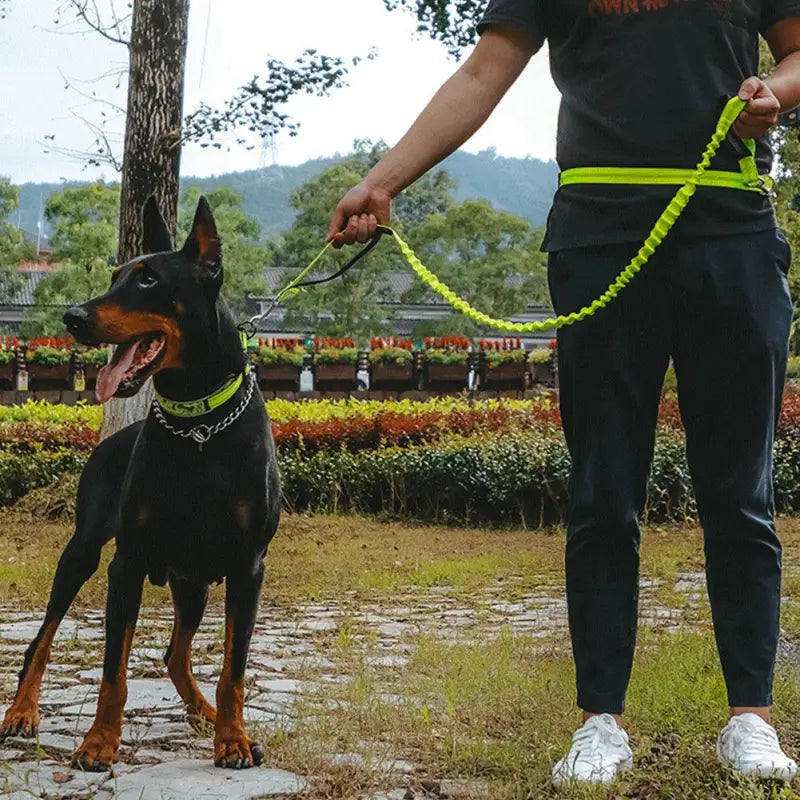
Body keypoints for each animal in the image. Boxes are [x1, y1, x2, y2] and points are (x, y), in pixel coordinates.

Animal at [0, 197, 282, 772]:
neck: (199, 426)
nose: (74, 317)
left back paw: (204, 713)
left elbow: (234, 670)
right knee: (41, 640)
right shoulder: (126, 563)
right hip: (83, 551)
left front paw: (234, 739)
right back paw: (21, 712)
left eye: (149, 278)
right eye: (115, 276)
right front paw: (98, 744)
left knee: (176, 655)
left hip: (194, 582)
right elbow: (113, 671)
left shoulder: (248, 567)